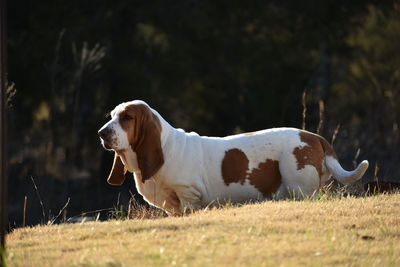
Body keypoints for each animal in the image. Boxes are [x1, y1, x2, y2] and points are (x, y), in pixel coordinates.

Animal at [97, 100, 368, 216]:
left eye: (127, 117)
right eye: (111, 115)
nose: (101, 133)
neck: (165, 146)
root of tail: (314, 137)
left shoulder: (188, 195)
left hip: (299, 188)